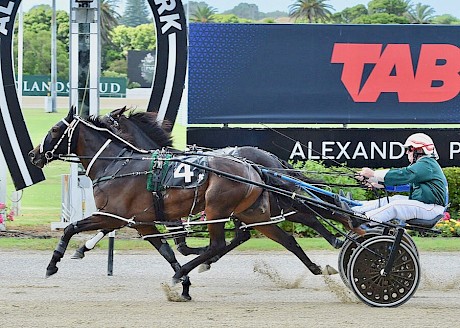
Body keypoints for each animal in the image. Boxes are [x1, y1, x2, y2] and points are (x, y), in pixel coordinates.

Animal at [29, 108, 338, 300]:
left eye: (55, 129)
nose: (34, 154)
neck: (121, 164)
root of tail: (258, 164)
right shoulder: (143, 222)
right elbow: (168, 250)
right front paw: (186, 286)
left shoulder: (114, 215)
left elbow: (71, 228)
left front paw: (55, 263)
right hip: (254, 212)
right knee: (286, 237)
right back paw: (319, 265)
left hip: (220, 208)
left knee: (225, 242)